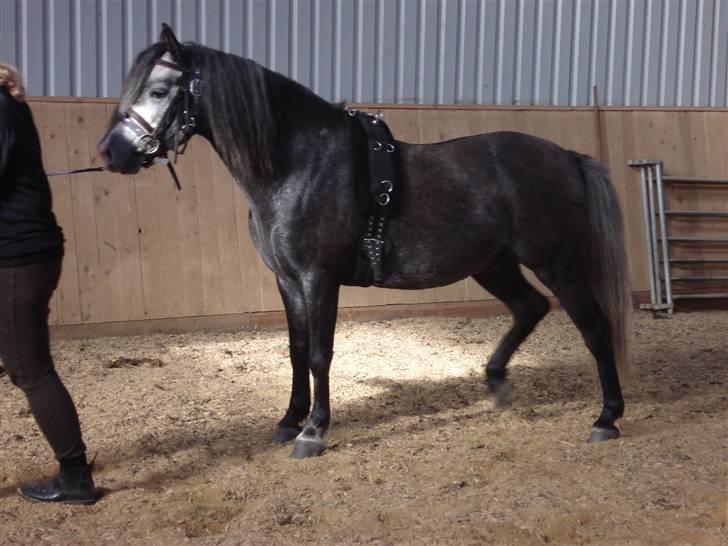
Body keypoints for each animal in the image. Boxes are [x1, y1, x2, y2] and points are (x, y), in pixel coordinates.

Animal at [97, 25, 632, 459]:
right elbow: (296, 348)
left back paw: (607, 416)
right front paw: (288, 420)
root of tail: (567, 156)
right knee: (529, 308)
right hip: (493, 263)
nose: (110, 152)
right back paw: (497, 383)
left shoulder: (319, 278)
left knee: (594, 326)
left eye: (160, 89)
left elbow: (320, 352)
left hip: (555, 261)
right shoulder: (287, 281)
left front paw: (313, 431)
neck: (298, 164)